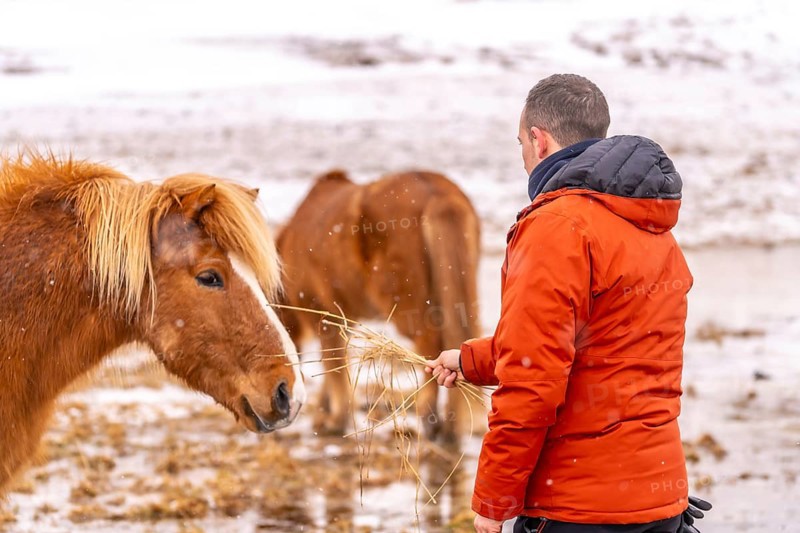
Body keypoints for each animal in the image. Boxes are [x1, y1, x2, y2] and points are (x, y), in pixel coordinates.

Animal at [276, 170, 481, 443]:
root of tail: (437, 190)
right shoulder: (344, 320)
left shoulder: (324, 315)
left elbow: (333, 367)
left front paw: (334, 420)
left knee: (431, 348)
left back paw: (431, 421)